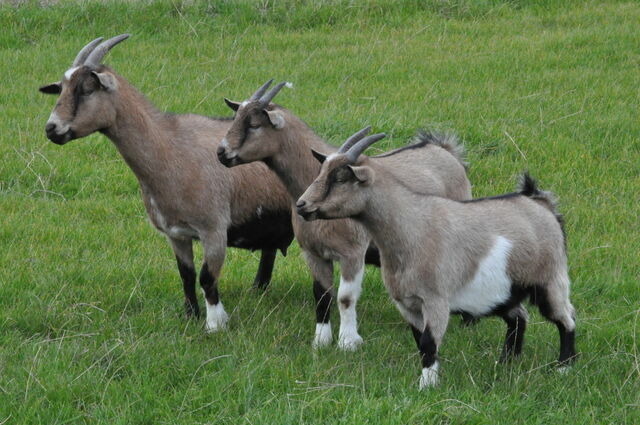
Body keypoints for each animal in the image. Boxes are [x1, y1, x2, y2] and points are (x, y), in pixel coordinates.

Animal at [37, 34, 292, 332]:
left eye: (87, 89)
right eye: (62, 89)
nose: (52, 129)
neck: (170, 150)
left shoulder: (214, 229)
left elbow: (207, 277)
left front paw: (215, 325)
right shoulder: (176, 233)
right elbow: (186, 275)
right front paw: (190, 315)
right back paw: (258, 290)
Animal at [218, 81, 472, 350]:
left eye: (254, 125)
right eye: (236, 118)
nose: (221, 153)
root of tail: (445, 151)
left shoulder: (352, 253)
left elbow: (345, 297)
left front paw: (348, 342)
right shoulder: (314, 252)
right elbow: (321, 295)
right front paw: (321, 340)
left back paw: (467, 323)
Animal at [298, 128, 576, 388]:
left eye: (340, 177)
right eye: (322, 170)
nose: (302, 205)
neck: (412, 227)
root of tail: (540, 203)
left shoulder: (436, 300)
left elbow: (429, 342)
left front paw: (427, 386)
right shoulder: (406, 303)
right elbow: (419, 340)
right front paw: (428, 380)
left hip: (550, 281)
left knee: (566, 318)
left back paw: (564, 367)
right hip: (503, 292)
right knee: (519, 317)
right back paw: (506, 362)